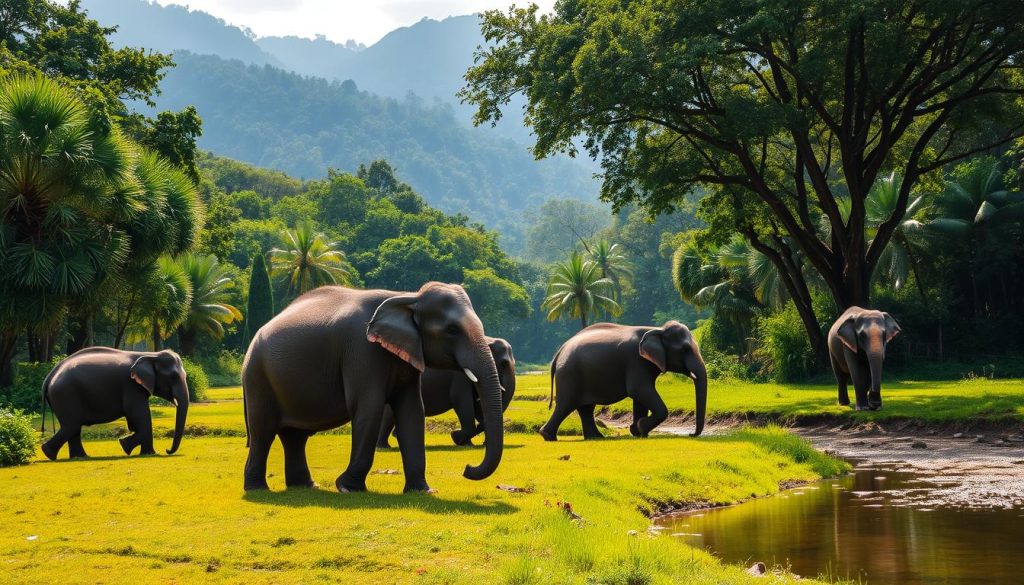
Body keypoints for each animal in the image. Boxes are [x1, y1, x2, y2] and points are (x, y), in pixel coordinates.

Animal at [39, 348, 190, 460]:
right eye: (173, 376)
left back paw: (78, 457)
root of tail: (49, 377)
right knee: (72, 425)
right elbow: (140, 416)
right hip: (65, 394)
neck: (151, 355)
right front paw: (126, 445)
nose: (167, 450)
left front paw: (139, 450)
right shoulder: (130, 386)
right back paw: (49, 453)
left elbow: (136, 420)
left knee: (73, 427)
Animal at [376, 336, 515, 449]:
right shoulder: (460, 376)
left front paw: (467, 443)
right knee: (389, 415)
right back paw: (384, 446)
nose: (454, 433)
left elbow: (477, 407)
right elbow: (462, 401)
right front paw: (459, 439)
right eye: (504, 363)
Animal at [539, 321, 708, 441]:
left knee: (585, 408)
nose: (691, 434)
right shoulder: (636, 361)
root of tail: (560, 351)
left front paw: (638, 432)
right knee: (566, 405)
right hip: (569, 374)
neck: (657, 329)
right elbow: (639, 390)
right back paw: (548, 437)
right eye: (685, 349)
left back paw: (596, 438)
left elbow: (640, 397)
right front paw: (640, 428)